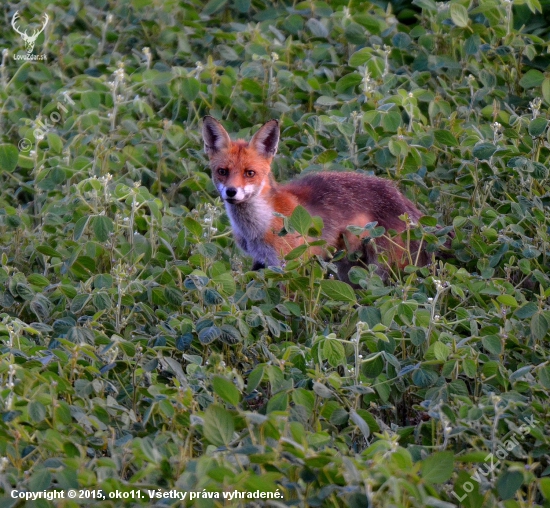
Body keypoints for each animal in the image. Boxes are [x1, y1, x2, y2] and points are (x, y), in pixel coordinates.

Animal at [203, 116, 432, 282]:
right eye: (222, 172)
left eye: (249, 173)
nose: (231, 192)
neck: (258, 227)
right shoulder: (261, 261)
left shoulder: (290, 264)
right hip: (348, 268)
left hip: (380, 268)